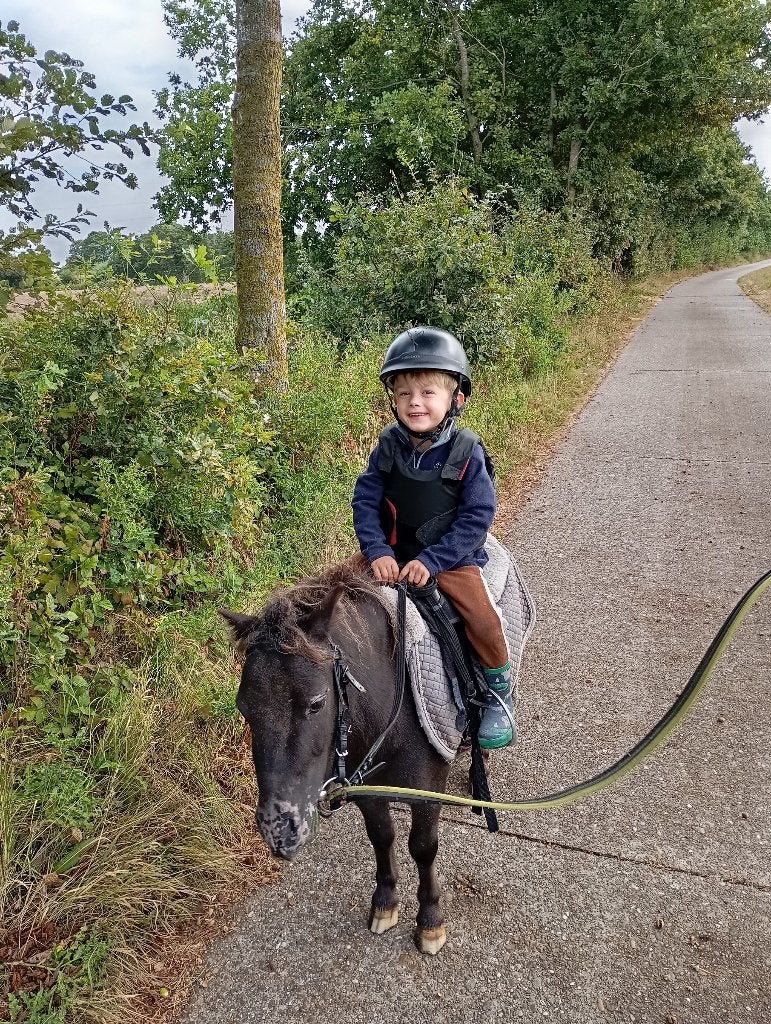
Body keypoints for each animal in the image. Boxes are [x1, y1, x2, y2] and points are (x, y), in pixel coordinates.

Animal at [221, 561, 458, 955]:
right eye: (244, 708)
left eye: (316, 703)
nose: (279, 832)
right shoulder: (367, 792)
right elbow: (382, 836)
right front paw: (385, 903)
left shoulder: (427, 793)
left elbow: (423, 848)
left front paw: (430, 923)